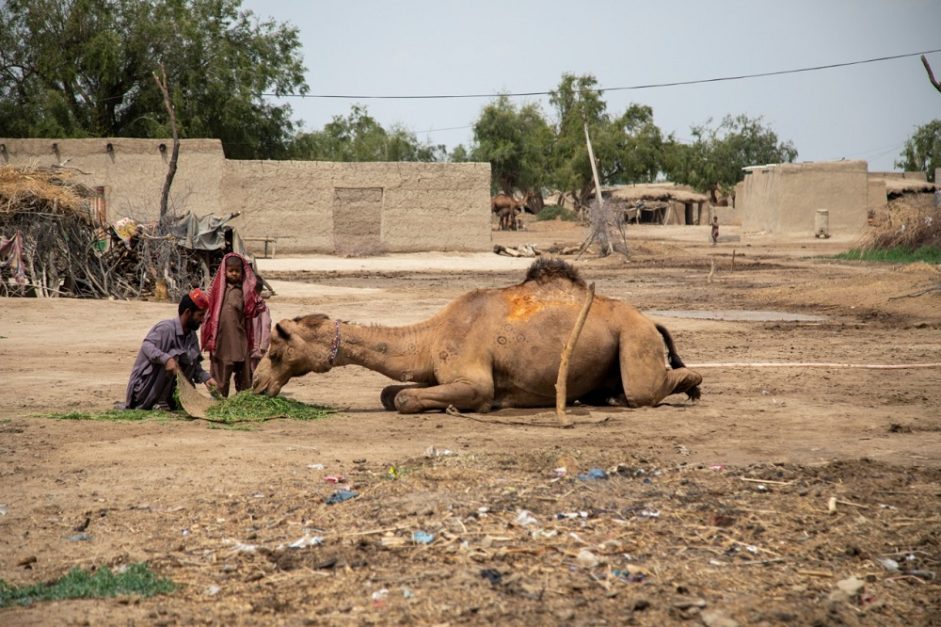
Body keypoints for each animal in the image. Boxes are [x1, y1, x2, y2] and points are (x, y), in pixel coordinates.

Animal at [253, 258, 700, 414]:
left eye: (275, 350)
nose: (256, 384)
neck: (430, 336)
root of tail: (650, 320)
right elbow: (388, 393)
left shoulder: (474, 379)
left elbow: (403, 399)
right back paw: (607, 398)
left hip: (634, 337)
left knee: (646, 389)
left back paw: (692, 387)